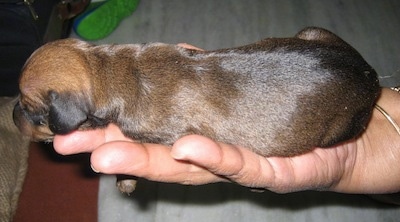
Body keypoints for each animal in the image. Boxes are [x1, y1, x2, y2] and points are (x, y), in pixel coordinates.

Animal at [13, 26, 382, 193]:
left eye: (35, 115)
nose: (12, 115)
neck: (106, 68)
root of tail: (371, 76)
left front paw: (125, 181)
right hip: (314, 33)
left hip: (342, 128)